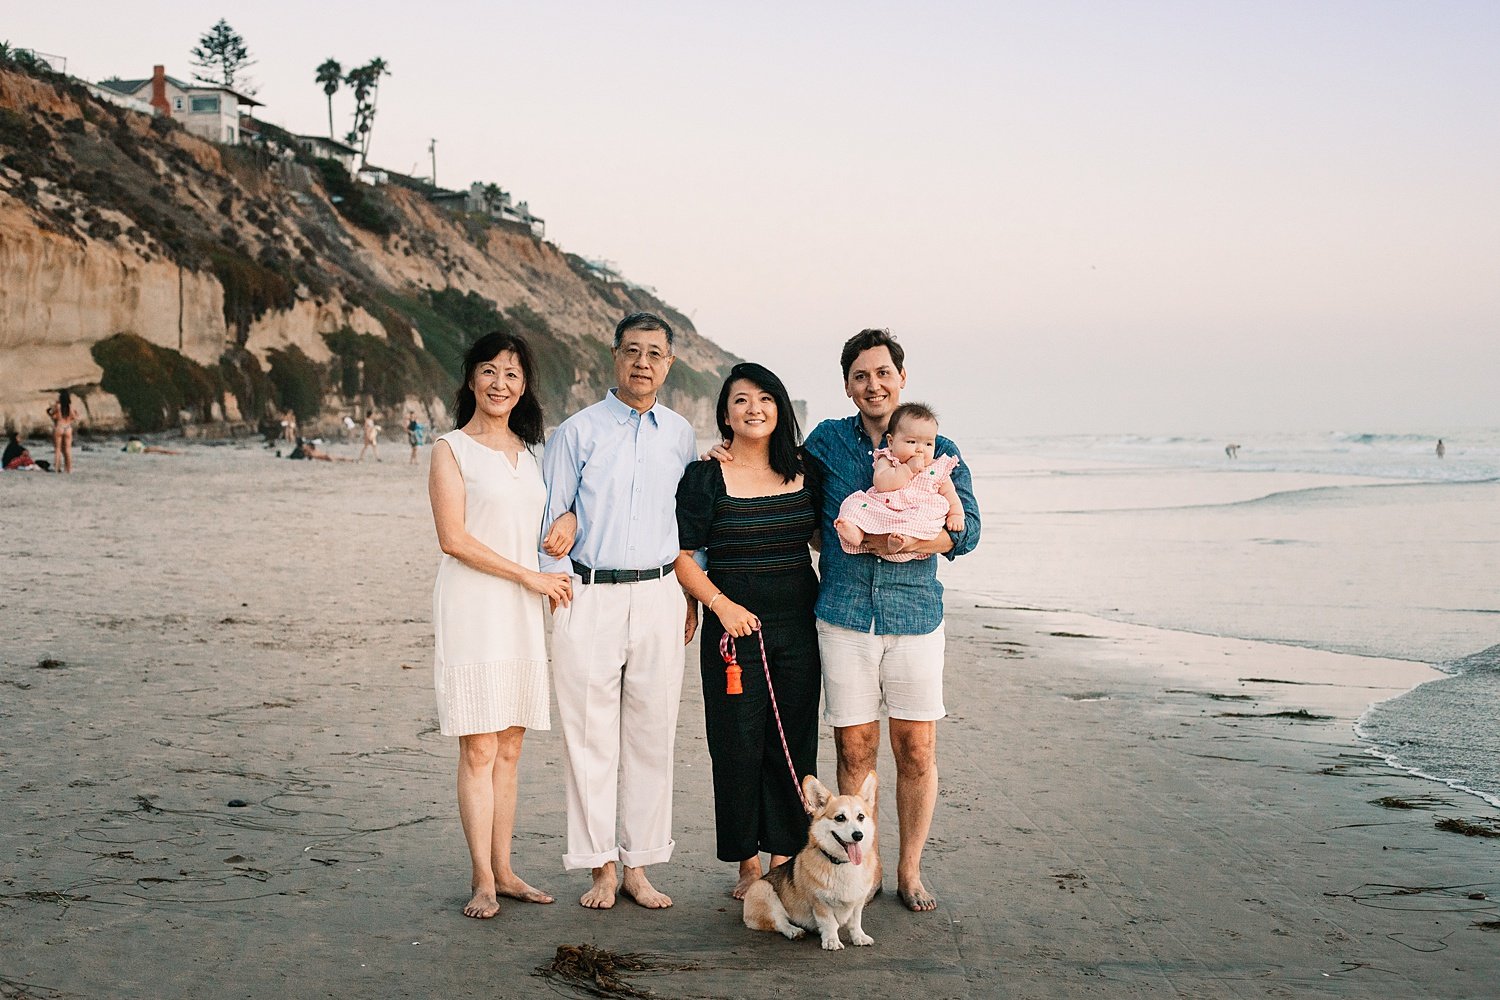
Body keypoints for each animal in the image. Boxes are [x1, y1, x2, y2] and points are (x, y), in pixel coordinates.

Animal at [741, 773, 876, 953]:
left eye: (861, 817)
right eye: (840, 818)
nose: (858, 835)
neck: (842, 864)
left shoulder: (857, 902)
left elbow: (855, 922)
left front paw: (859, 937)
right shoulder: (820, 903)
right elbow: (829, 923)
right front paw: (831, 941)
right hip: (765, 891)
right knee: (779, 921)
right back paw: (794, 931)